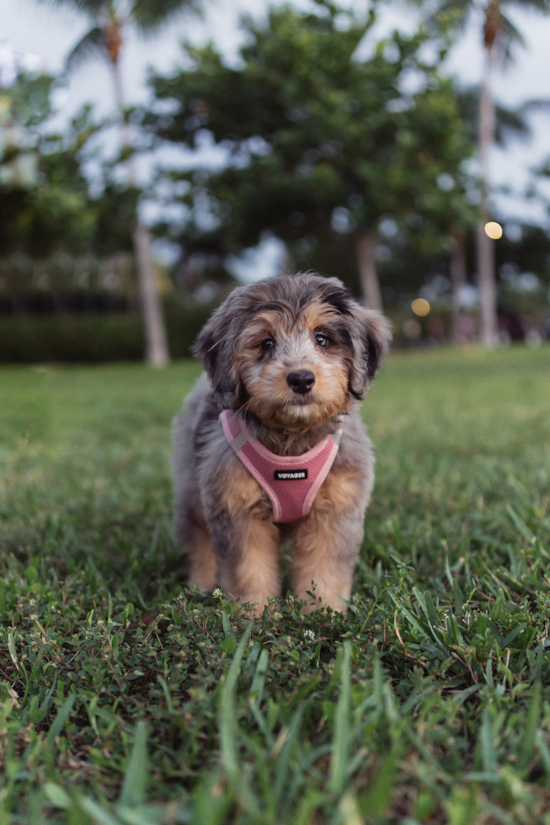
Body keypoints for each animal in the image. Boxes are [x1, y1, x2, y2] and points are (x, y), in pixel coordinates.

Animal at [172, 270, 392, 612]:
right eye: (266, 343)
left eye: (322, 339)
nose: (301, 379)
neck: (292, 438)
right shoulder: (236, 506)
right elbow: (249, 570)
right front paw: (254, 614)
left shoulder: (336, 508)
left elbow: (325, 568)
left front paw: (322, 612)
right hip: (192, 490)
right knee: (198, 540)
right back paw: (201, 586)